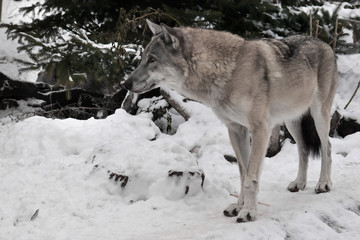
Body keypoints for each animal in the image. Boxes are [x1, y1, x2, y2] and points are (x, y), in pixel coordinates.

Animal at [123, 19, 338, 222]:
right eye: (143, 58)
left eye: (152, 59)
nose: (126, 83)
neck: (228, 71)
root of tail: (323, 43)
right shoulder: (236, 130)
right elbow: (243, 173)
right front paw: (238, 206)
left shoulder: (260, 129)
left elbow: (251, 178)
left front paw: (249, 212)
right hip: (292, 121)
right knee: (303, 149)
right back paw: (299, 183)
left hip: (319, 115)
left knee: (326, 146)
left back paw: (323, 183)